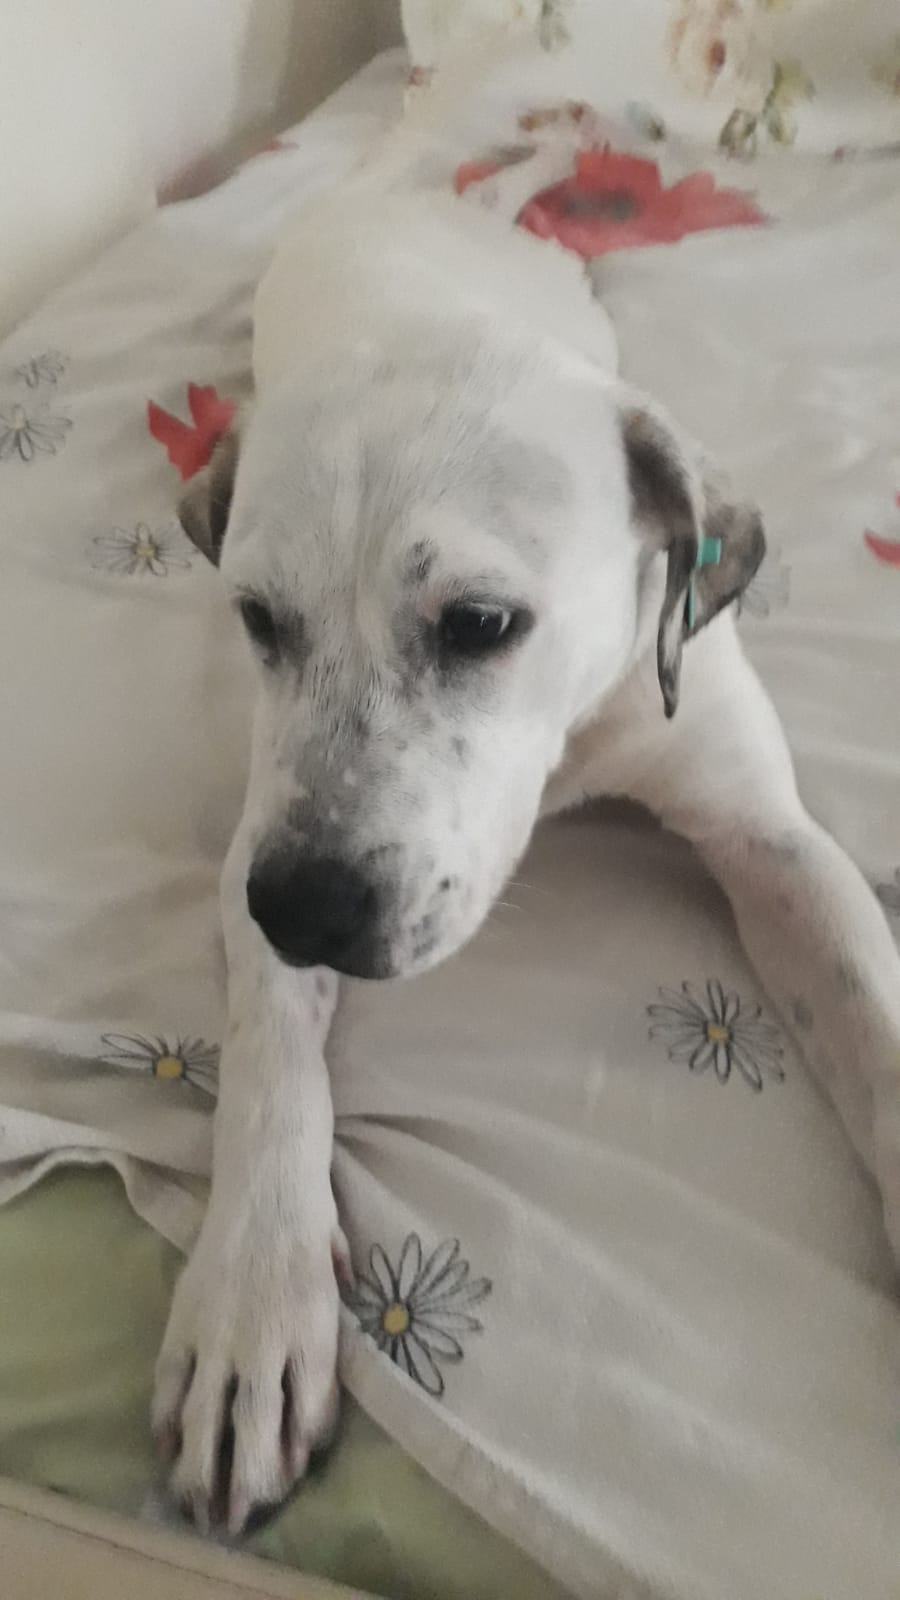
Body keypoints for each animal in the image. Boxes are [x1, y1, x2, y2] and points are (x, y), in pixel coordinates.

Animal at [152, 36, 900, 1536]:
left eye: (483, 624)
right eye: (260, 620)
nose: (307, 909)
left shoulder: (775, 837)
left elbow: (873, 1019)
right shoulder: (264, 834)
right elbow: (269, 1061)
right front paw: (254, 1296)